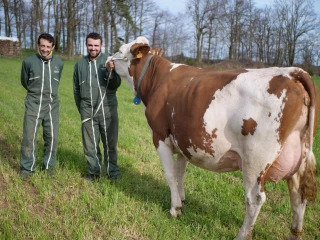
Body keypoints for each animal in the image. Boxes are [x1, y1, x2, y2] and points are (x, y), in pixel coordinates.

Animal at [108, 36, 320, 239]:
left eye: (119, 50)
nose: (108, 60)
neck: (157, 80)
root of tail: (291, 73)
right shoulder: (183, 140)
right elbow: (180, 173)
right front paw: (182, 199)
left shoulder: (160, 137)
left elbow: (170, 174)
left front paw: (175, 208)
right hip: (298, 158)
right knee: (299, 196)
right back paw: (294, 234)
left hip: (255, 160)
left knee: (255, 199)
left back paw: (242, 235)